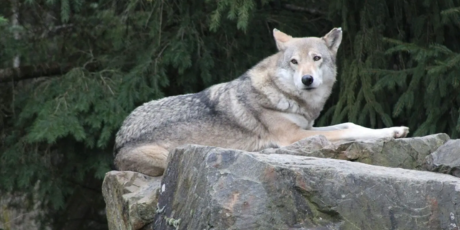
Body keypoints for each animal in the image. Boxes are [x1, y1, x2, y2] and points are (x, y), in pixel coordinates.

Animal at [114, 27, 410, 176]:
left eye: (316, 58)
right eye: (294, 62)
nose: (307, 80)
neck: (283, 93)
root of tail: (118, 140)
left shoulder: (306, 128)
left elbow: (349, 124)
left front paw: (396, 130)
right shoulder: (293, 136)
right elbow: (345, 131)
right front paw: (390, 132)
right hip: (171, 156)